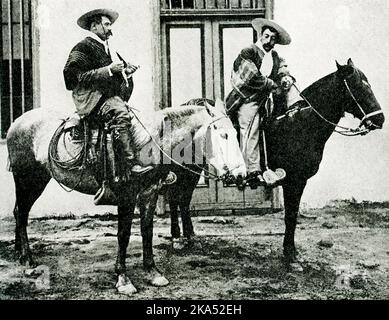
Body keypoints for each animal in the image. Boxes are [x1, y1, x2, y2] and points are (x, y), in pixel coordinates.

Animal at [6, 100, 246, 296]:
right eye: (224, 135)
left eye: (235, 135)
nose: (241, 175)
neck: (148, 144)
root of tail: (16, 122)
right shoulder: (126, 196)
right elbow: (124, 235)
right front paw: (123, 278)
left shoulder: (149, 193)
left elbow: (147, 231)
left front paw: (152, 271)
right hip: (29, 178)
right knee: (21, 212)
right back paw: (27, 259)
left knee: (20, 212)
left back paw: (20, 252)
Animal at [164, 60, 384, 270]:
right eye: (357, 86)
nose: (379, 119)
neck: (300, 123)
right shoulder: (294, 180)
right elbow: (291, 216)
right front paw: (291, 255)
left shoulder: (298, 181)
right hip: (183, 167)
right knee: (175, 197)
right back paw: (176, 238)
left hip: (193, 168)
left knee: (184, 198)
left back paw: (190, 237)